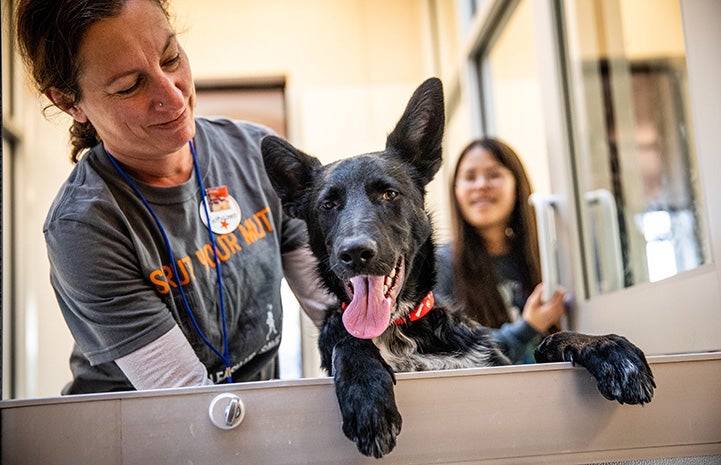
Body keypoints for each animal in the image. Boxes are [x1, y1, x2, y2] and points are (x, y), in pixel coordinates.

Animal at [262, 76, 656, 456]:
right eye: (327, 205)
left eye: (389, 194)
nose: (355, 252)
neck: (401, 329)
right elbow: (348, 340)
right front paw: (366, 393)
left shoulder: (502, 367)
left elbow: (552, 340)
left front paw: (608, 349)